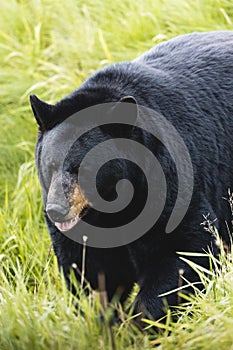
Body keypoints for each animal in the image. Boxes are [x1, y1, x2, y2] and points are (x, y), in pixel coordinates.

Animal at [30, 31, 233, 322]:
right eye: (50, 165)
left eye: (83, 168)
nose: (56, 210)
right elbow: (88, 270)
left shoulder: (168, 182)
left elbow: (186, 248)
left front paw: (142, 321)